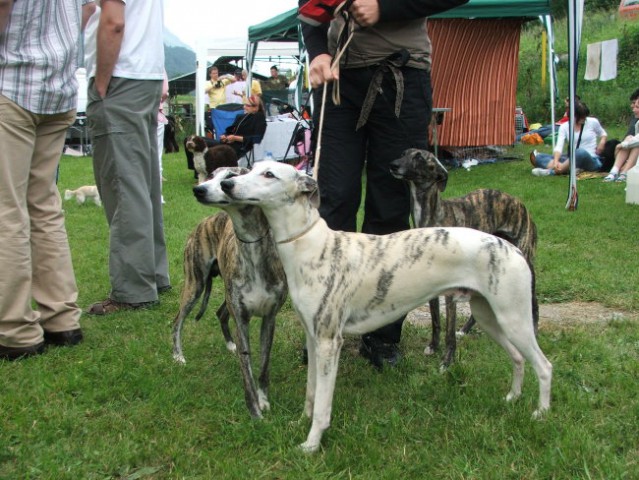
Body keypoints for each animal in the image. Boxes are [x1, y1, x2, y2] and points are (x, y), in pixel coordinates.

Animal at [172, 167, 288, 418]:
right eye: (211, 175)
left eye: (230, 177)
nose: (198, 189)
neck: (252, 246)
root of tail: (204, 221)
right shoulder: (241, 322)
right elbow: (247, 370)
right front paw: (255, 413)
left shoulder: (269, 319)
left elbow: (263, 366)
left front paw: (264, 401)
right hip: (195, 284)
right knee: (177, 320)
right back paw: (177, 355)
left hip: (225, 292)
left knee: (220, 313)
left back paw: (229, 345)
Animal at [220, 161, 552, 454]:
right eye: (249, 169)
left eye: (269, 174)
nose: (227, 185)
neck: (310, 246)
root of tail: (512, 248)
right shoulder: (313, 339)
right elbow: (311, 392)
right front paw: (299, 423)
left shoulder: (329, 342)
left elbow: (324, 404)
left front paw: (311, 445)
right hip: (489, 316)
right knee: (518, 358)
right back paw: (512, 398)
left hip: (514, 318)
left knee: (544, 365)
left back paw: (541, 414)